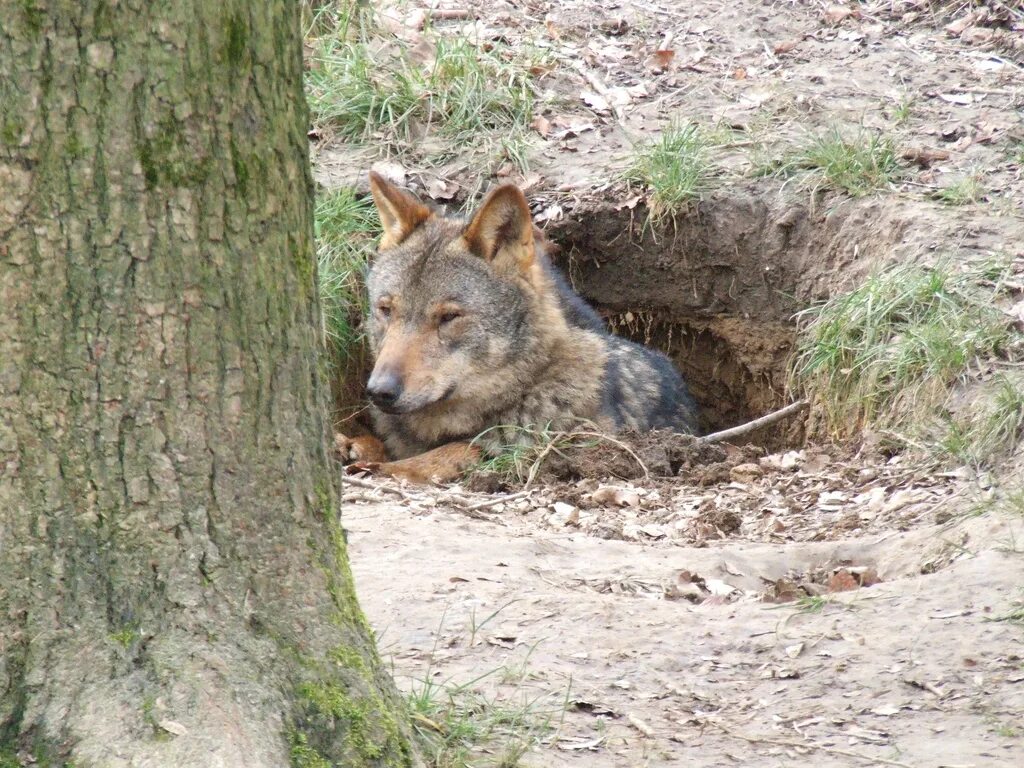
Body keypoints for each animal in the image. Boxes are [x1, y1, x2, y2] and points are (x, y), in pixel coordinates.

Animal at [335, 172, 696, 483]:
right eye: (386, 310)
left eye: (448, 317)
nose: (380, 391)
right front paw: (350, 445)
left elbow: (462, 449)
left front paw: (383, 468)